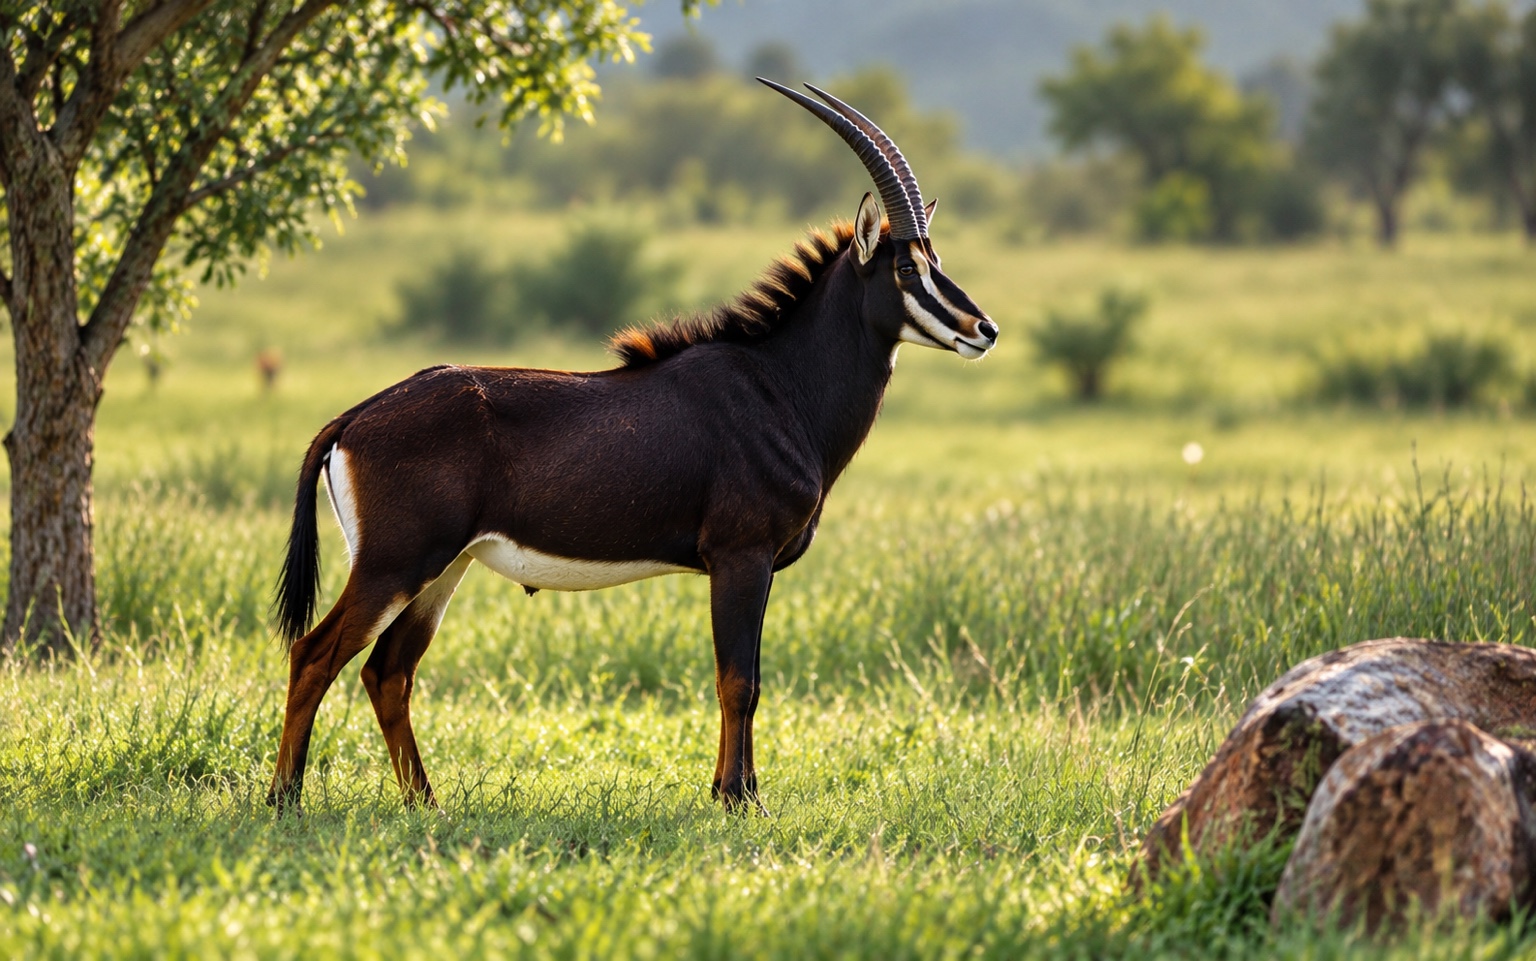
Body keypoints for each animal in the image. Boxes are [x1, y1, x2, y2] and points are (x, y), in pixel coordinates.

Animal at [267, 80, 998, 814]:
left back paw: (426, 802)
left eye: (937, 261)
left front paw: (732, 791)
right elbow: (739, 680)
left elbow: (747, 677)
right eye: (906, 266)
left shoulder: (755, 565)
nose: (983, 329)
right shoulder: (740, 556)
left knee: (388, 670)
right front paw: (740, 799)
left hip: (444, 567)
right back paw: (286, 799)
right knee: (316, 654)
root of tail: (353, 418)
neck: (779, 382)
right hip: (395, 563)